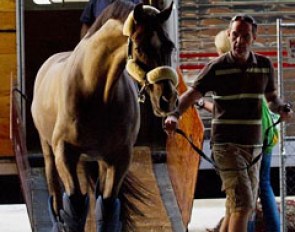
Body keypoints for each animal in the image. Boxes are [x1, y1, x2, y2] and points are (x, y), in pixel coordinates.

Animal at [30, 0, 178, 231]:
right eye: (139, 47)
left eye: (169, 46)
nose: (167, 99)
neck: (96, 92)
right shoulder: (64, 153)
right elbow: (75, 206)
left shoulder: (119, 158)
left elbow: (107, 207)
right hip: (48, 150)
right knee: (56, 196)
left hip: (99, 160)